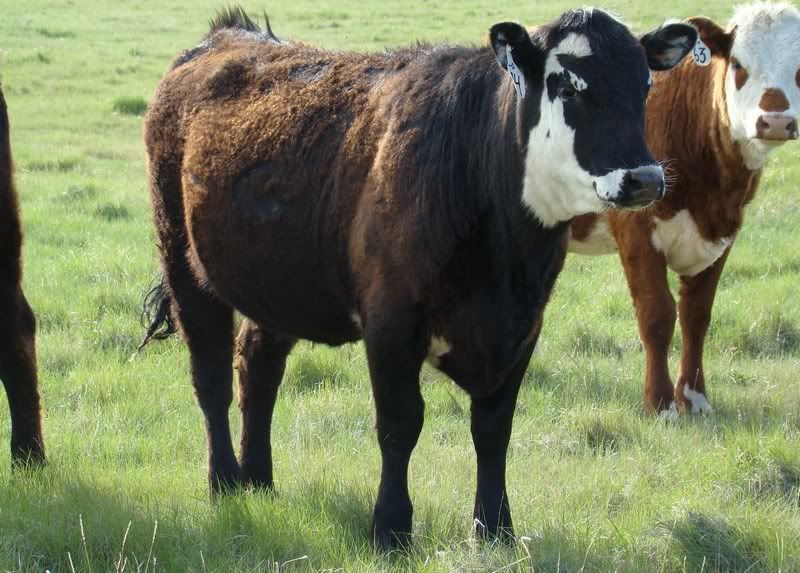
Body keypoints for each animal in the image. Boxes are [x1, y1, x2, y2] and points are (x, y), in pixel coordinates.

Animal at [140, 7, 695, 548]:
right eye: (569, 87)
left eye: (646, 85)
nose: (645, 178)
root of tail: (226, 35)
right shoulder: (391, 321)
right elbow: (399, 424)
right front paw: (391, 529)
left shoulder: (524, 326)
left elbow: (493, 429)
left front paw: (495, 530)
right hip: (183, 262)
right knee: (212, 378)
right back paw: (224, 482)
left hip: (277, 285)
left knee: (257, 367)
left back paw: (258, 480)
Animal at [569, 2, 800, 417]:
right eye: (738, 64)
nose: (776, 121)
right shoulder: (637, 230)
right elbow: (657, 314)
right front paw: (660, 403)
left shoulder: (721, 236)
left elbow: (697, 316)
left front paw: (694, 397)